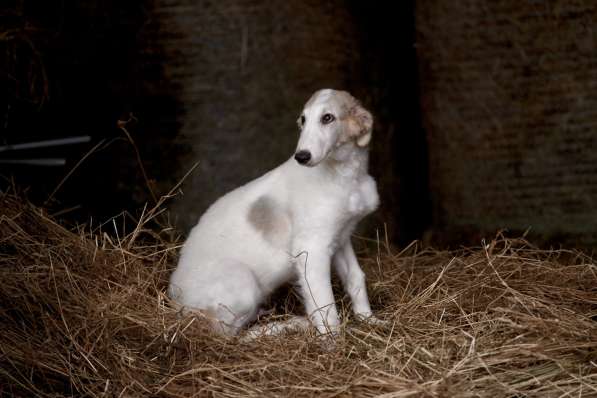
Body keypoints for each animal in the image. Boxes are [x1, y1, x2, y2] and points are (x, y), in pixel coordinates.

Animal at [168, 89, 382, 336]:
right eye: (303, 120)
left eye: (327, 117)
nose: (302, 156)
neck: (344, 175)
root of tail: (174, 300)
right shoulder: (311, 249)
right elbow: (325, 305)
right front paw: (333, 341)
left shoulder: (340, 237)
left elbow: (355, 278)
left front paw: (369, 321)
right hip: (243, 282)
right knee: (227, 335)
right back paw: (287, 325)